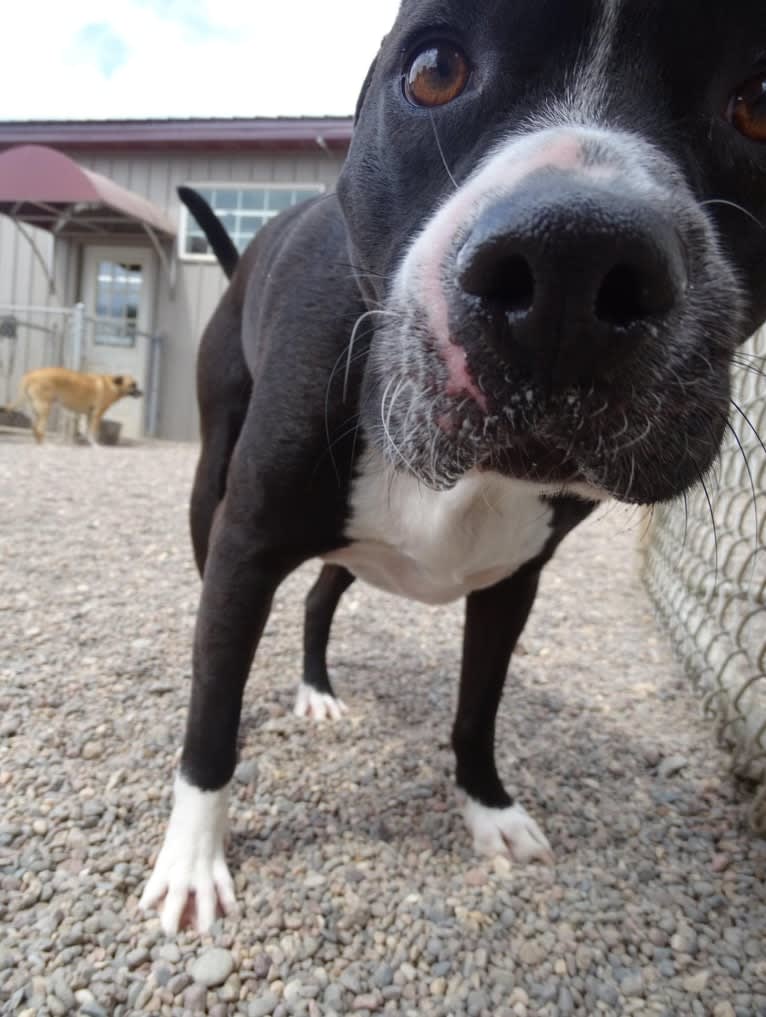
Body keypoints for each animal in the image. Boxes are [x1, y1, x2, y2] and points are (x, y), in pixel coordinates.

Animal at [5, 368, 142, 443]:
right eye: (133, 385)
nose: (142, 393)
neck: (112, 385)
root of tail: (30, 375)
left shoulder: (90, 415)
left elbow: (88, 432)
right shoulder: (97, 415)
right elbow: (92, 432)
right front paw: (96, 445)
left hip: (36, 409)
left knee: (34, 428)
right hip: (44, 408)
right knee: (39, 429)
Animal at [142, 1, 764, 935]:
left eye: (760, 104)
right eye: (435, 69)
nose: (570, 265)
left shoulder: (513, 586)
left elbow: (479, 707)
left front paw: (489, 807)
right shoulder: (246, 545)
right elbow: (212, 710)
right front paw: (191, 858)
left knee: (321, 595)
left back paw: (317, 687)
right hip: (211, 482)